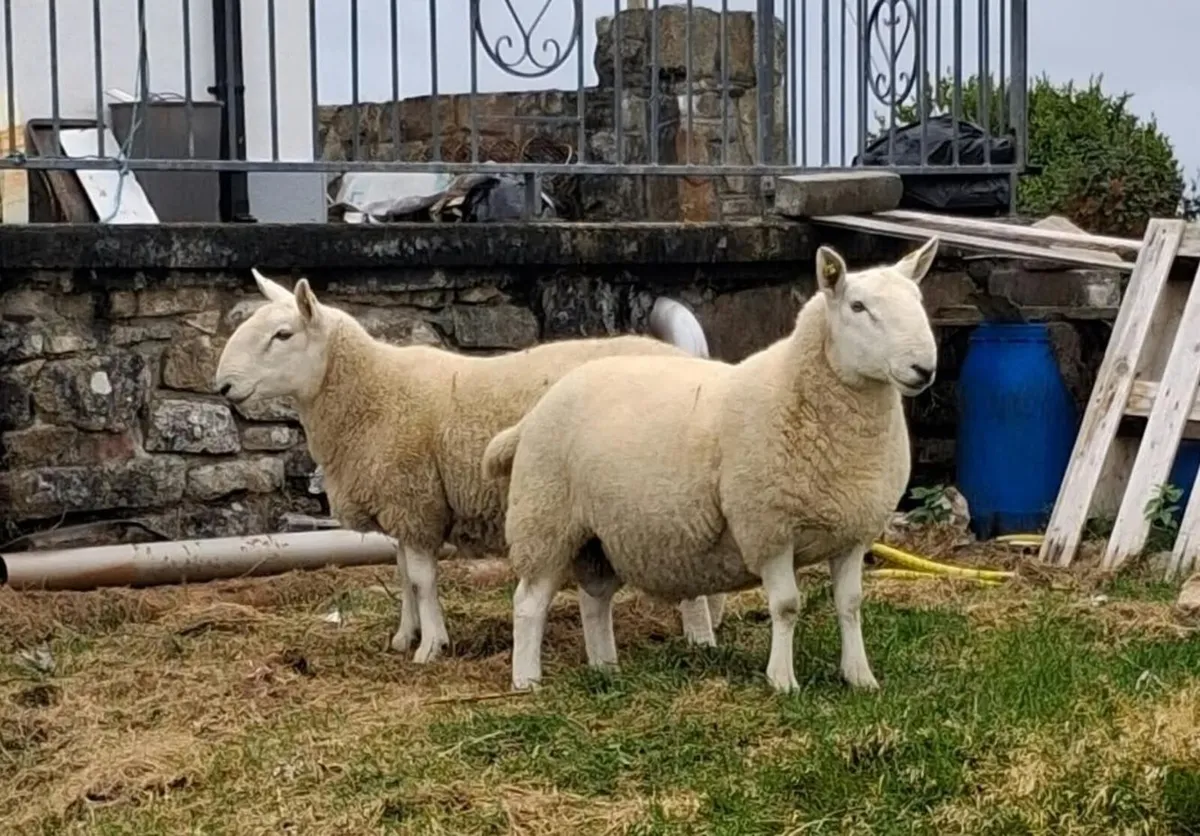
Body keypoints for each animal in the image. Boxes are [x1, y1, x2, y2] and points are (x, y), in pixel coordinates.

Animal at [213, 271, 726, 664]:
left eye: (283, 335)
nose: (223, 386)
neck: (371, 391)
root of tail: (695, 363)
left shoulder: (414, 499)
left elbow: (421, 580)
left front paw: (431, 647)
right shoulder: (403, 506)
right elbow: (402, 574)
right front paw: (405, 637)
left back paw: (699, 640)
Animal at [482, 238, 940, 693]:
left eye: (918, 300)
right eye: (858, 306)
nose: (924, 369)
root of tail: (534, 414)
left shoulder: (852, 532)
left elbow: (850, 605)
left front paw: (860, 678)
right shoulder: (768, 528)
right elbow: (786, 606)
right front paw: (782, 681)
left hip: (601, 537)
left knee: (594, 599)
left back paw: (605, 669)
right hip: (545, 518)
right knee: (529, 601)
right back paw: (527, 681)